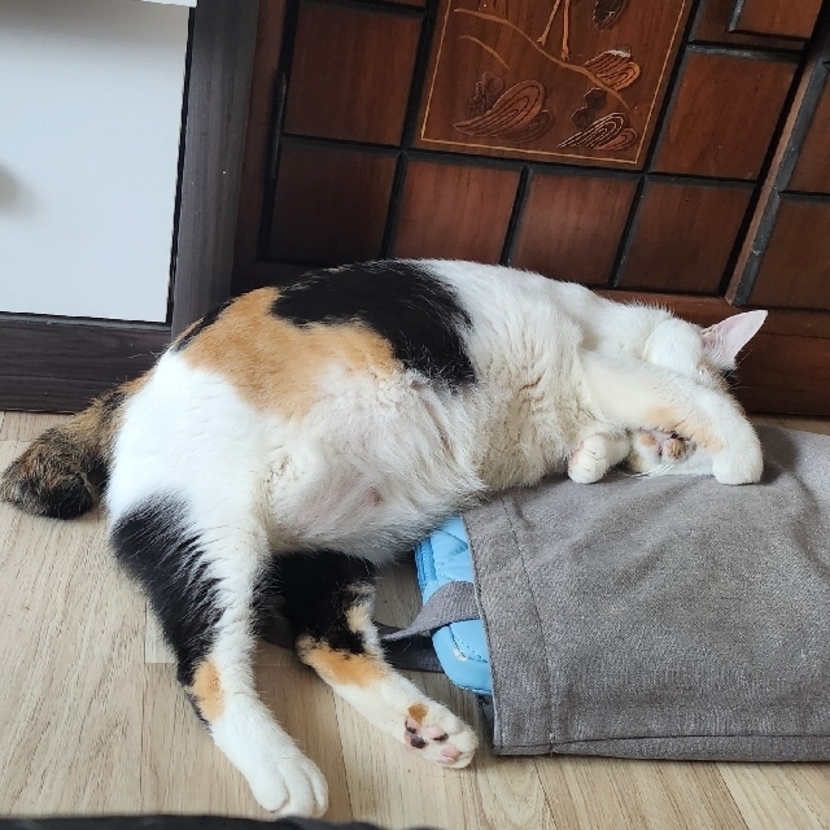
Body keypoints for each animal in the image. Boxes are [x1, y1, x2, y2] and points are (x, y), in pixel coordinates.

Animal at [0, 260, 767, 818]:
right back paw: (285, 770)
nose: (674, 451)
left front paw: (593, 459)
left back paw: (427, 729)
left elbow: (599, 447)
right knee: (206, 666)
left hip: (329, 557)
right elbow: (682, 398)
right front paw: (744, 457)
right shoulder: (602, 364)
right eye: (712, 374)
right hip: (209, 533)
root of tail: (138, 387)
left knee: (321, 642)